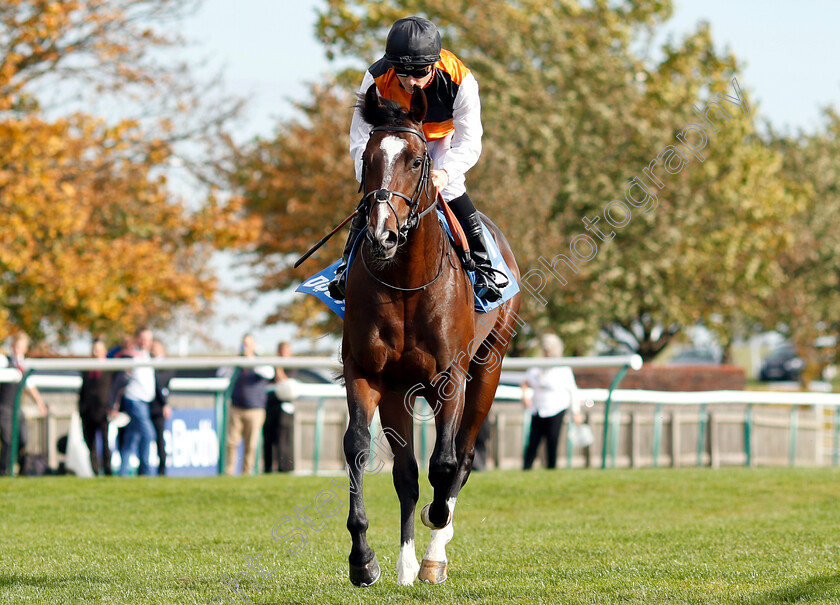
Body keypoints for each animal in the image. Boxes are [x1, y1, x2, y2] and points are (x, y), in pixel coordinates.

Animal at [340, 84, 520, 584]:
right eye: (368, 157)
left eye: (418, 160)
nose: (381, 234)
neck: (405, 283)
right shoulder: (367, 373)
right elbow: (359, 449)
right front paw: (364, 559)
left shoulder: (450, 378)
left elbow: (445, 463)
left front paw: (437, 522)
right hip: (400, 391)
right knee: (406, 473)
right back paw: (405, 565)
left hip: (489, 367)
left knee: (463, 456)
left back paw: (434, 555)